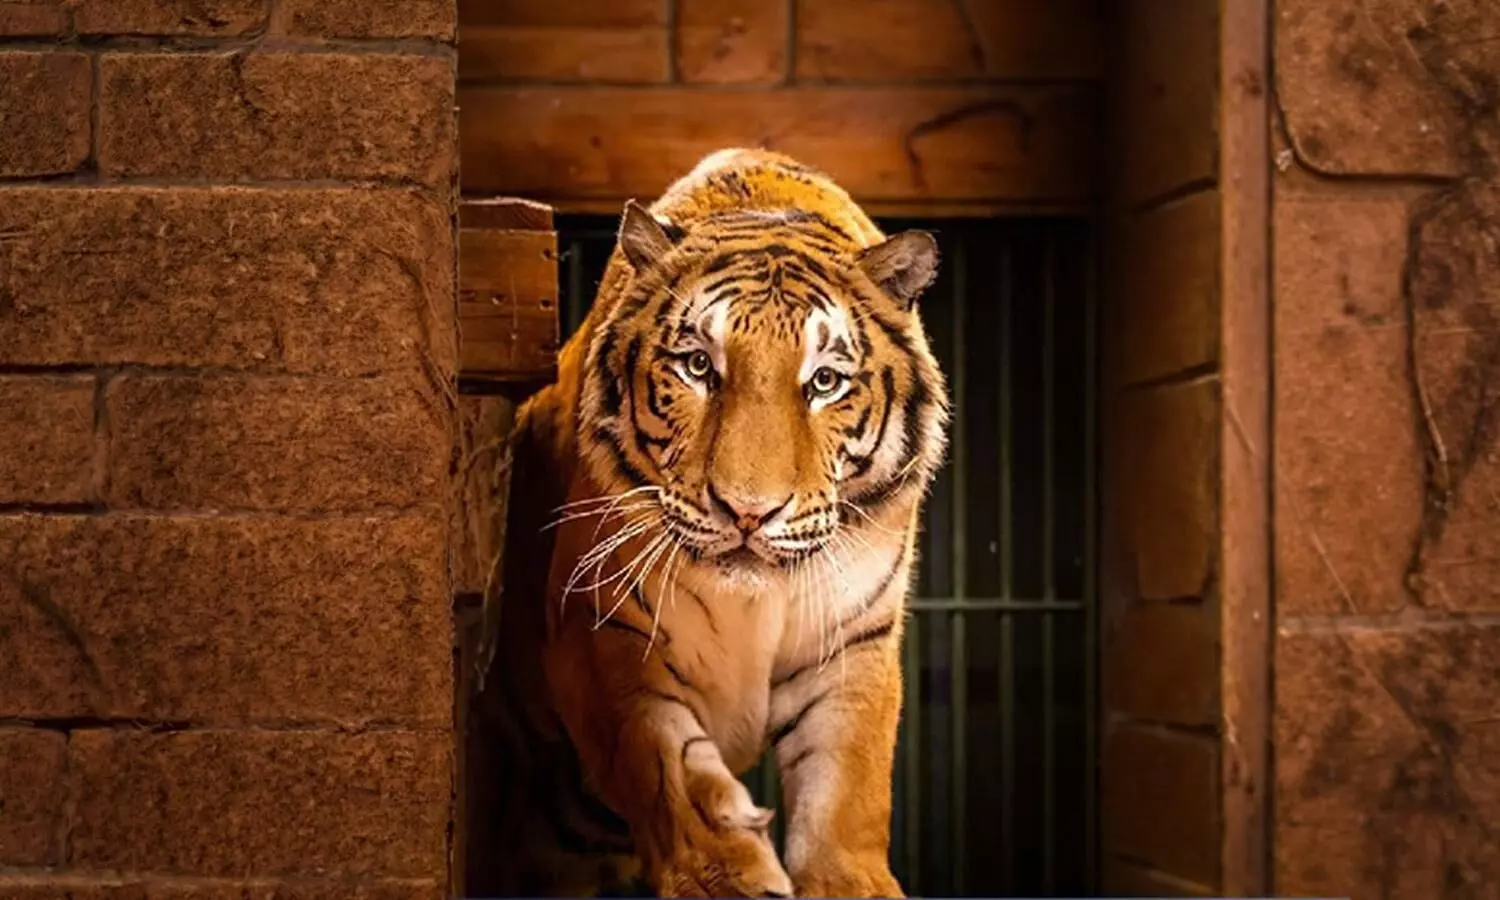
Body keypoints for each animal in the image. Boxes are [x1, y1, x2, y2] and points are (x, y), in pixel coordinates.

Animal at [467, 147, 950, 899]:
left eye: (824, 382)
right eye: (698, 366)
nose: (748, 511)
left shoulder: (851, 641)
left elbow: (849, 786)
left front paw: (850, 881)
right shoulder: (599, 629)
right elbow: (662, 760)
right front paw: (723, 869)